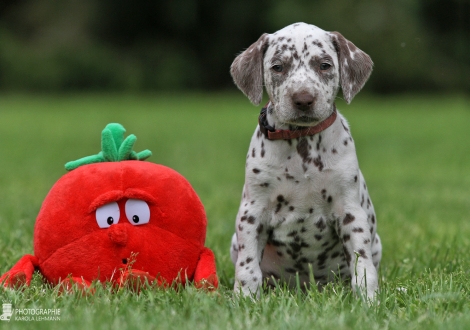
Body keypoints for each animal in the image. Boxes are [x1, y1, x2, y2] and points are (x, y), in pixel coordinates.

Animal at [230, 21, 382, 298]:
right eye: (278, 67)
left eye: (324, 65)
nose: (303, 99)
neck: (301, 143)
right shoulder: (252, 213)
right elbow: (248, 269)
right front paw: (244, 299)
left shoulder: (350, 212)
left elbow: (362, 266)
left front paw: (368, 300)